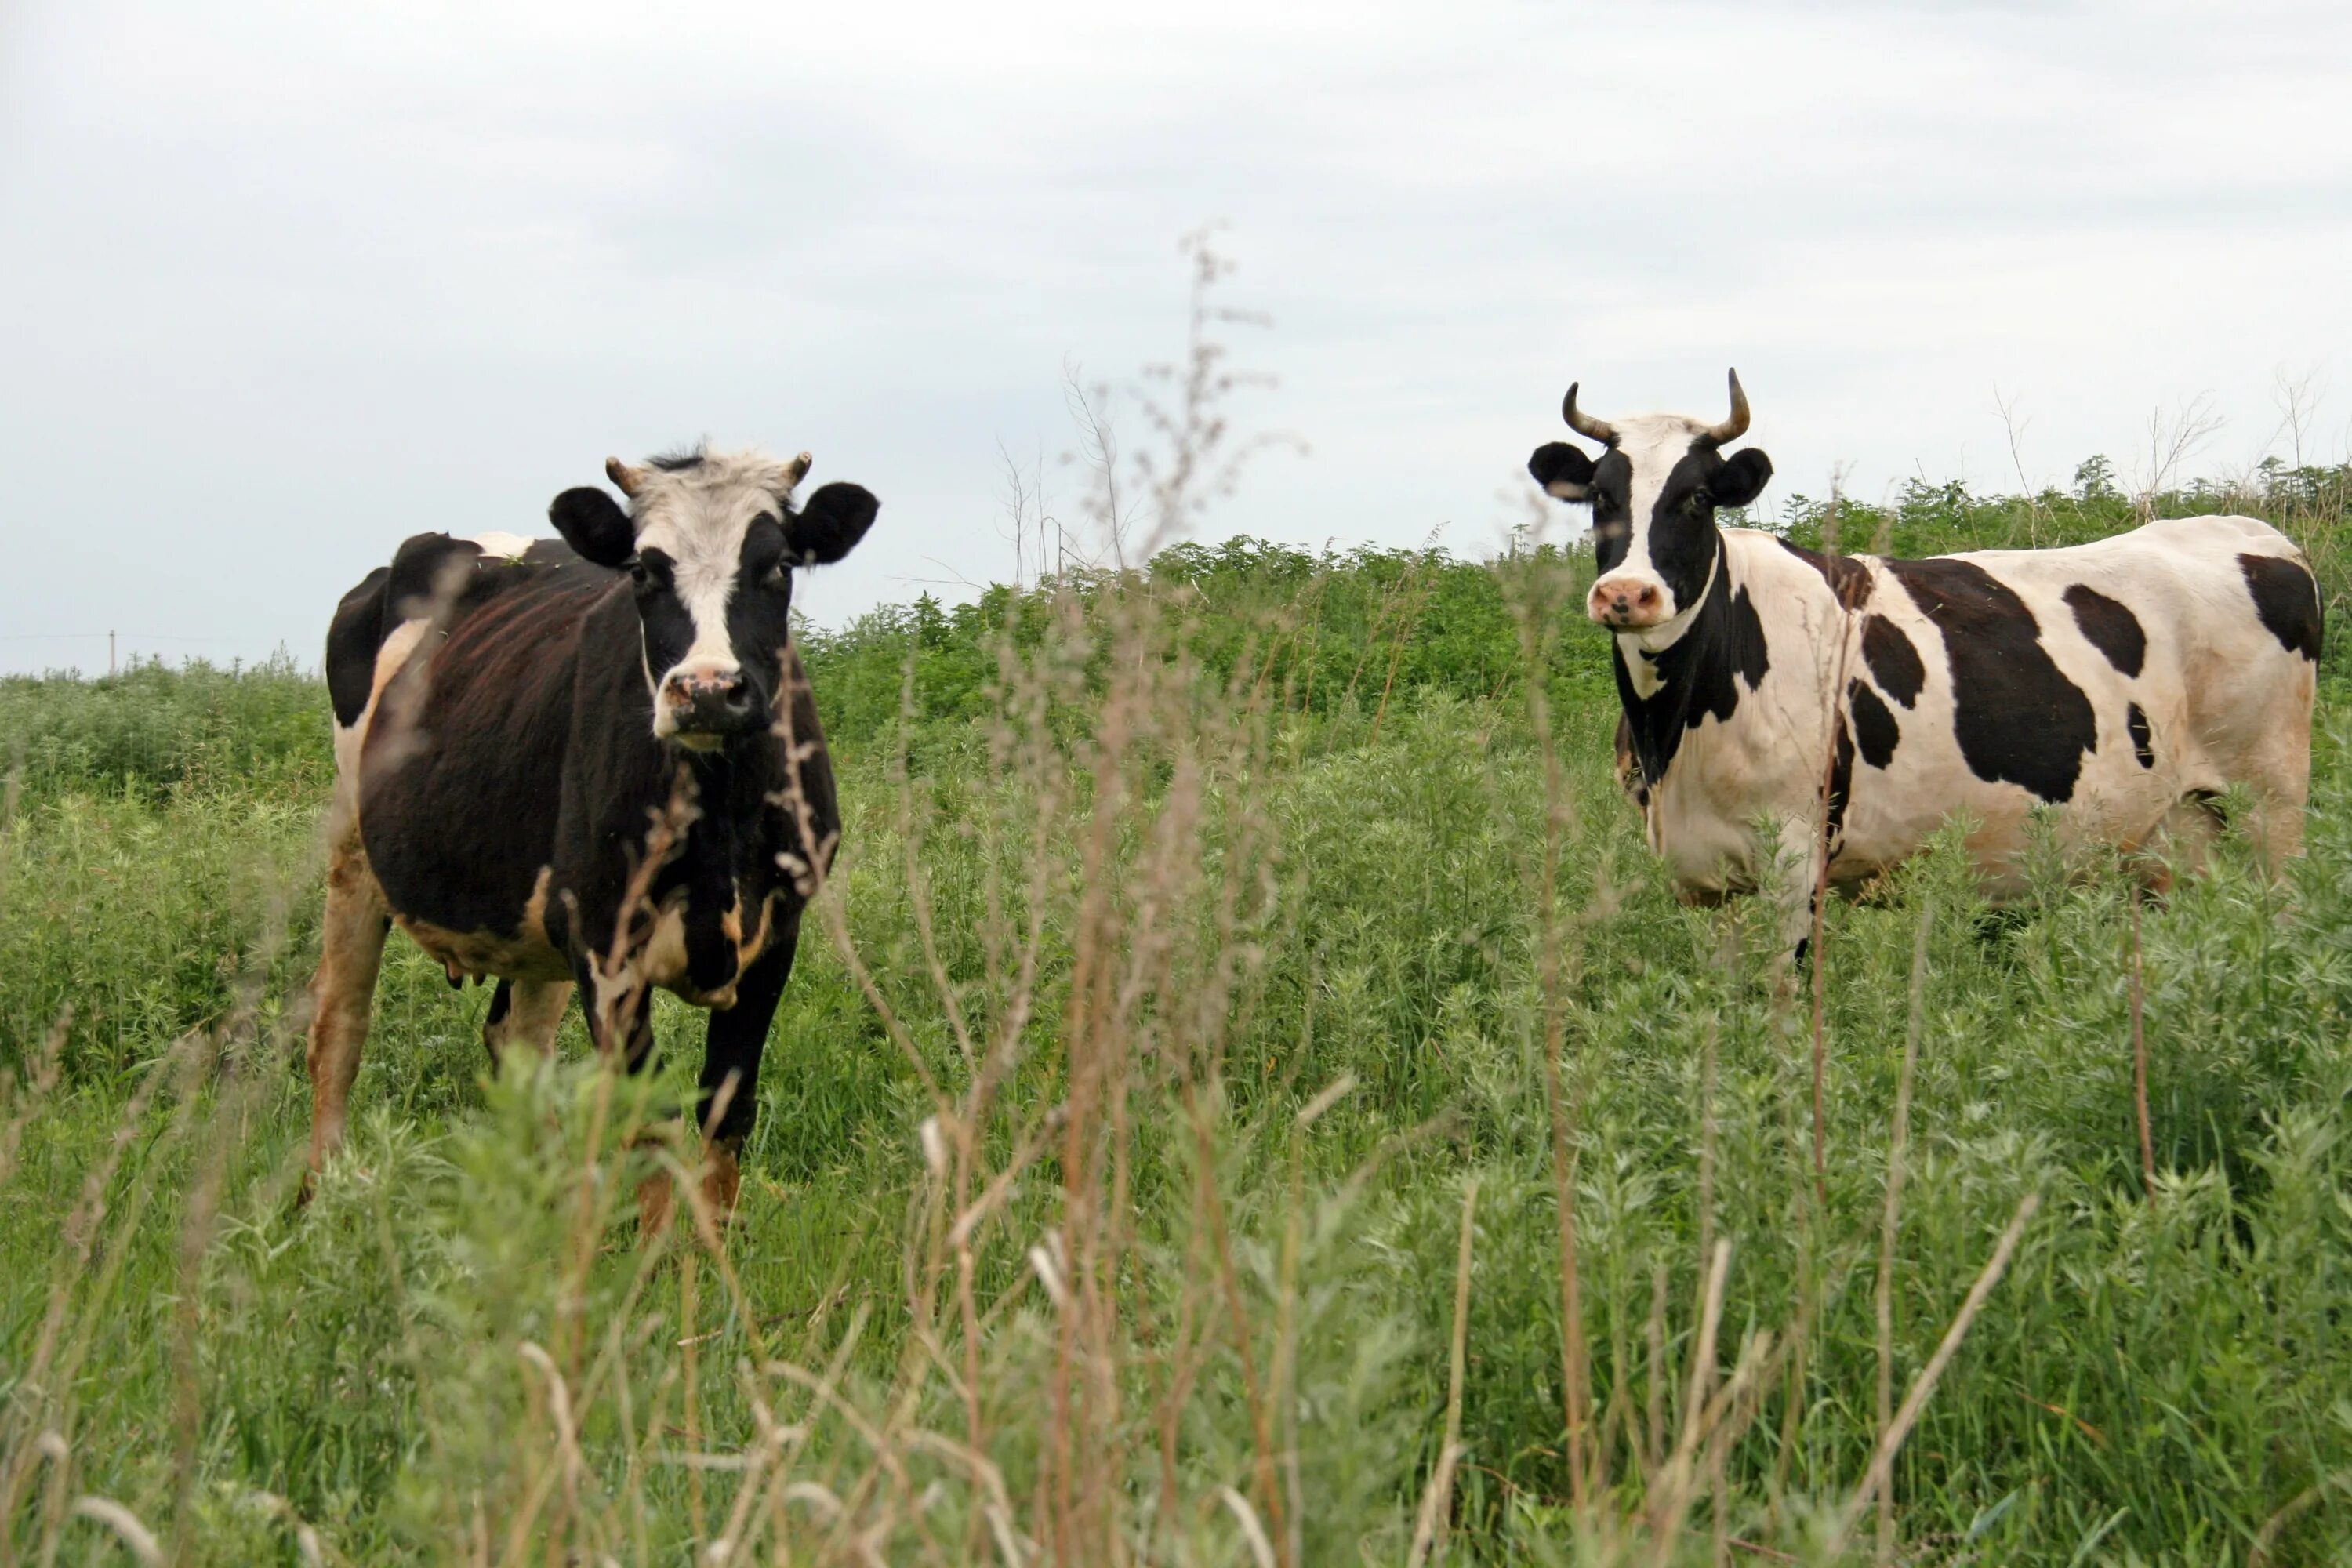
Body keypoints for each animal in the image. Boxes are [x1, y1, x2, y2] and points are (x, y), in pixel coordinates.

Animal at [303, 444, 875, 1222]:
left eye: (780, 564)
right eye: (642, 570)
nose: (705, 691)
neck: (717, 819)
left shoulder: (778, 931)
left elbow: (727, 1111)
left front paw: (715, 1244)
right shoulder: (607, 946)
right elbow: (651, 1121)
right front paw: (662, 1252)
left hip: (535, 916)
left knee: (517, 1041)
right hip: (354, 855)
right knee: (339, 1028)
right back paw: (319, 1204)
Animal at [1524, 373, 2314, 949]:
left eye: (1695, 498)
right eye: (1600, 498)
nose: (1627, 594)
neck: (1680, 726)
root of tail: (2252, 531)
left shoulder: (1795, 857)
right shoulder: (1697, 875)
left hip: (2271, 804)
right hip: (2176, 833)